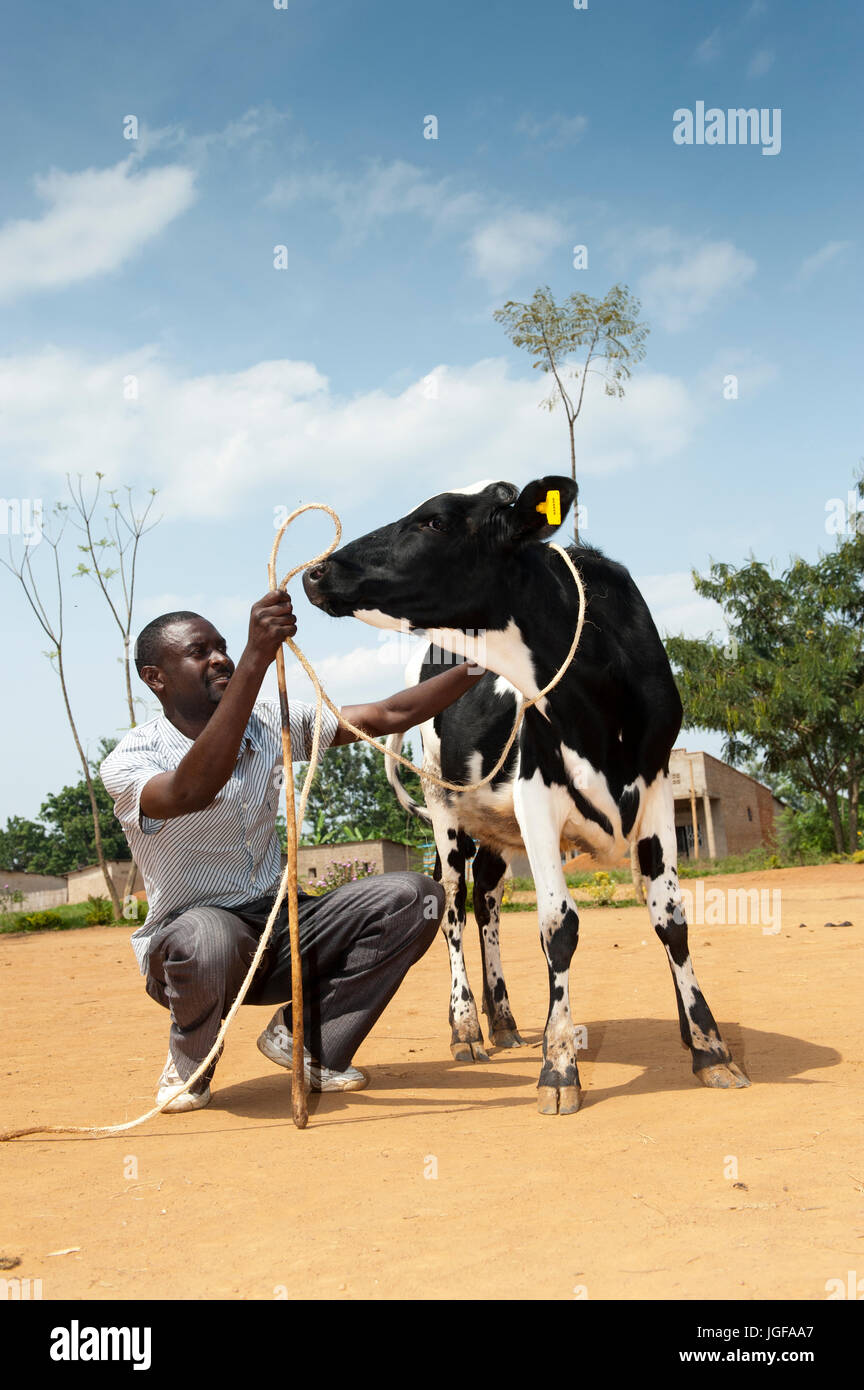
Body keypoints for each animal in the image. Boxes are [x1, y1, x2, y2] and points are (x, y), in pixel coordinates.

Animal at [304, 478, 750, 1117]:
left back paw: (505, 1020)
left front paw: (706, 1044)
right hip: (443, 809)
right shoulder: (537, 792)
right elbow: (558, 926)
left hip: (493, 828)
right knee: (453, 905)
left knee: (488, 901)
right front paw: (559, 1067)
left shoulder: (659, 786)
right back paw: (467, 1026)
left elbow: (671, 920)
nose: (316, 572)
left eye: (434, 521)